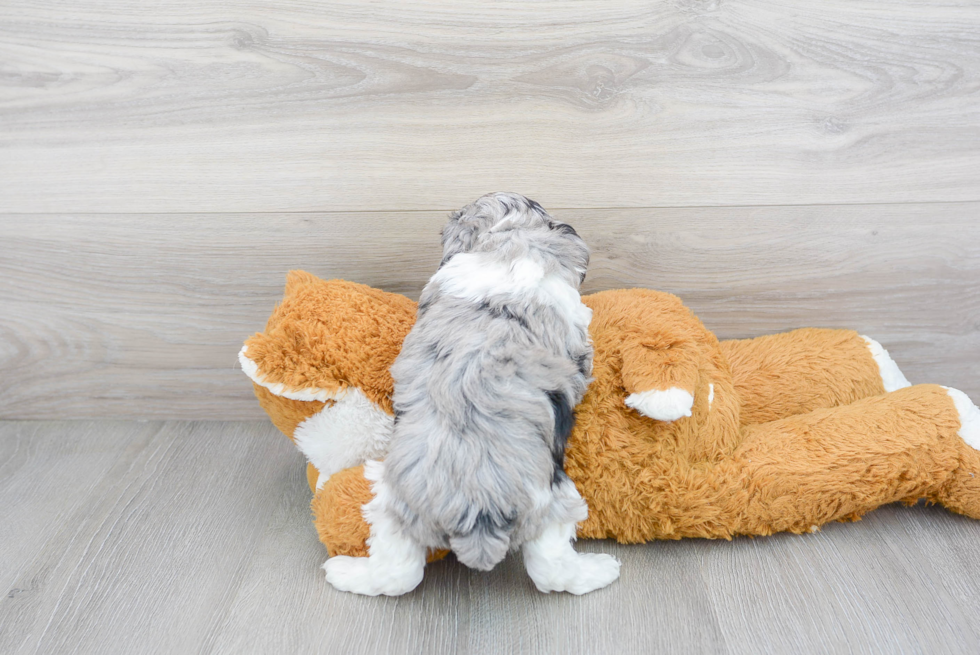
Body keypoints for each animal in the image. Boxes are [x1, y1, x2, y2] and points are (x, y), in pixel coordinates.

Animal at [326, 192, 624, 596]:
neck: (508, 241)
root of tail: (475, 498)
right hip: (555, 498)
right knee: (552, 569)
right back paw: (600, 570)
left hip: (393, 504)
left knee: (398, 574)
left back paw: (345, 573)